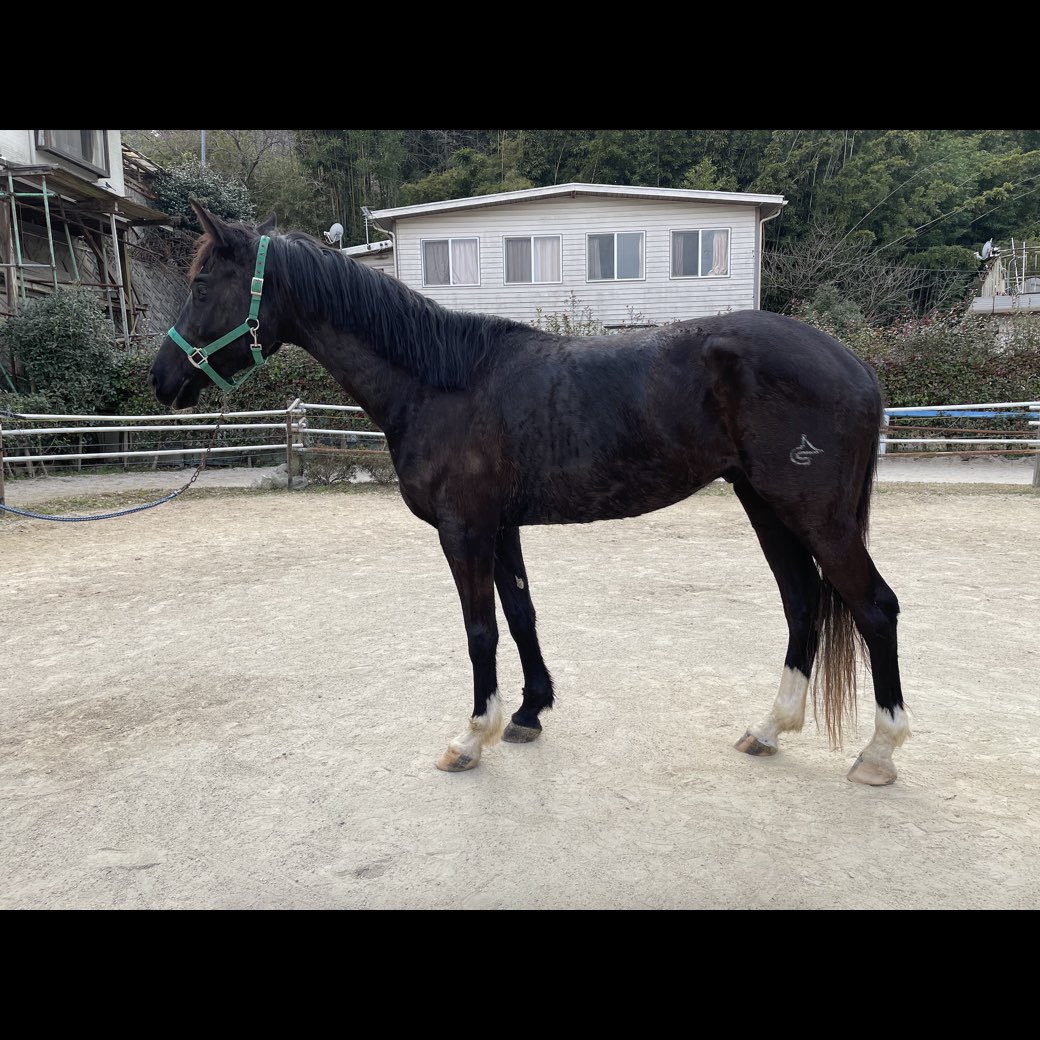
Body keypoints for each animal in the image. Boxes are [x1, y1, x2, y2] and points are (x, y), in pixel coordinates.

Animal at [149, 201, 910, 786]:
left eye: (201, 283)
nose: (162, 380)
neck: (442, 382)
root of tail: (854, 365)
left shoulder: (463, 529)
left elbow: (479, 629)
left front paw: (470, 736)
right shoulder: (501, 527)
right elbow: (521, 616)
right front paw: (527, 714)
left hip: (817, 515)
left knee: (874, 608)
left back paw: (878, 753)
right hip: (766, 506)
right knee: (802, 603)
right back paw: (769, 728)